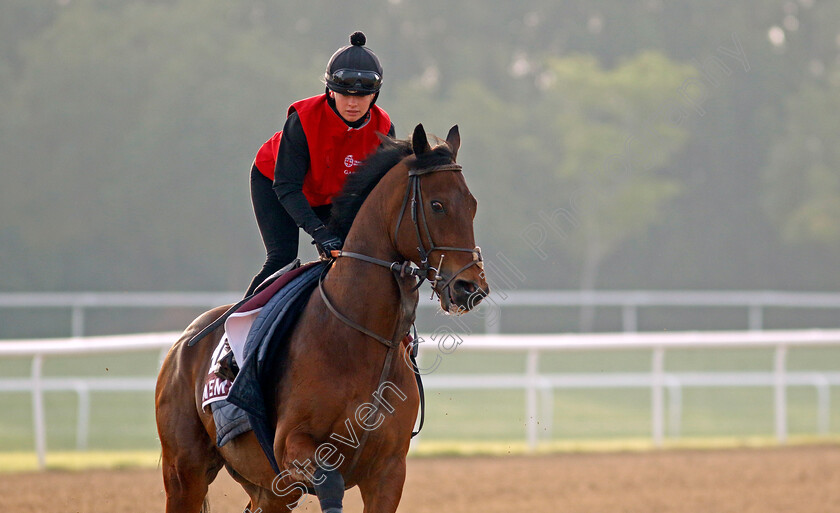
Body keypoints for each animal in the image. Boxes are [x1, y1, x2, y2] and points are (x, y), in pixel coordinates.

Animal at [154, 125, 488, 512]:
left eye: (472, 205)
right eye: (437, 205)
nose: (470, 287)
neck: (360, 337)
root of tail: (181, 344)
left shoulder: (388, 472)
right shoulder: (292, 447)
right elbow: (330, 483)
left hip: (268, 490)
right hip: (184, 471)